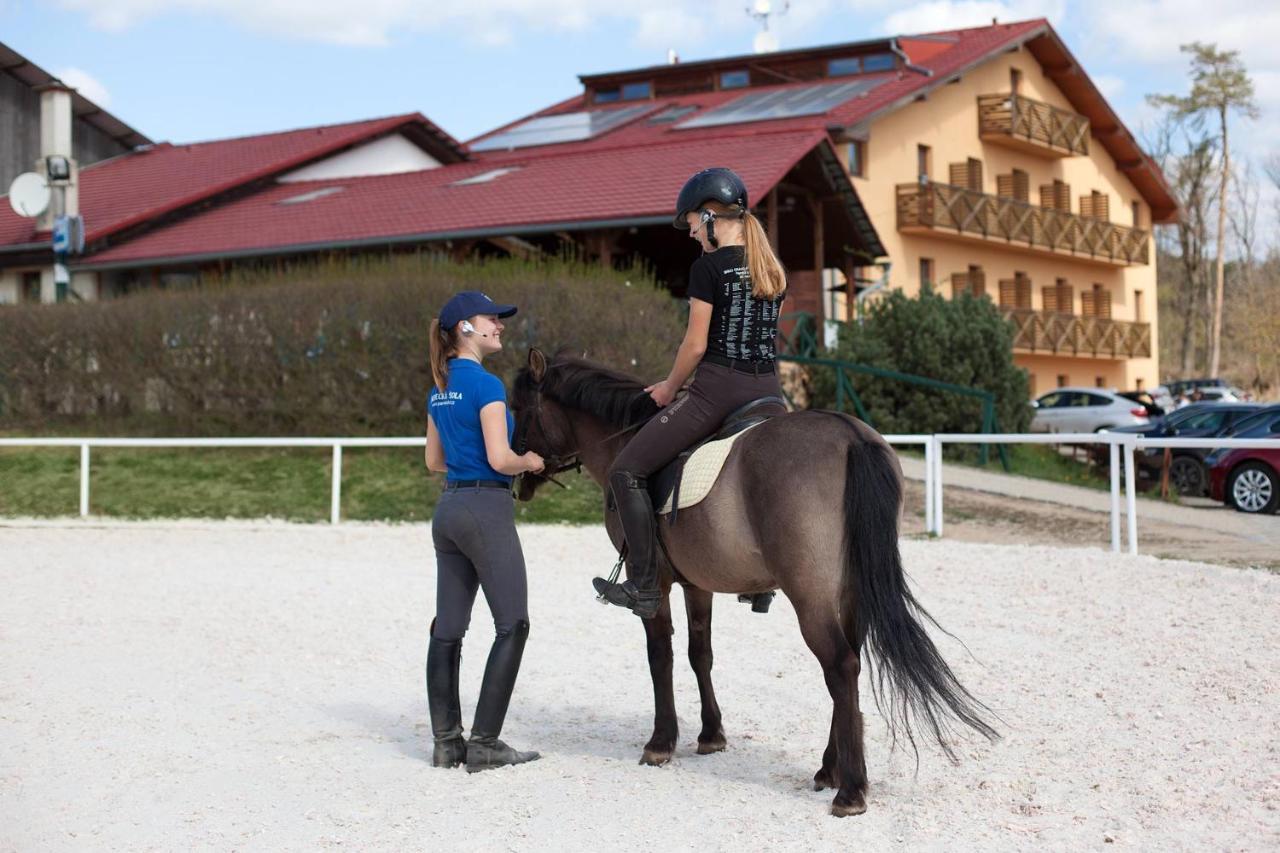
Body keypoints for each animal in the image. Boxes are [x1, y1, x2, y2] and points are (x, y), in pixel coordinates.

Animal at [512, 348, 998, 814]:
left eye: (519, 408)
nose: (518, 480)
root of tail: (851, 436)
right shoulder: (697, 583)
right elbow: (700, 654)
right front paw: (711, 735)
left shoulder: (653, 582)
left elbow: (660, 656)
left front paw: (660, 743)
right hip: (851, 593)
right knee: (851, 665)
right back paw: (830, 769)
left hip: (810, 596)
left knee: (840, 665)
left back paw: (850, 791)